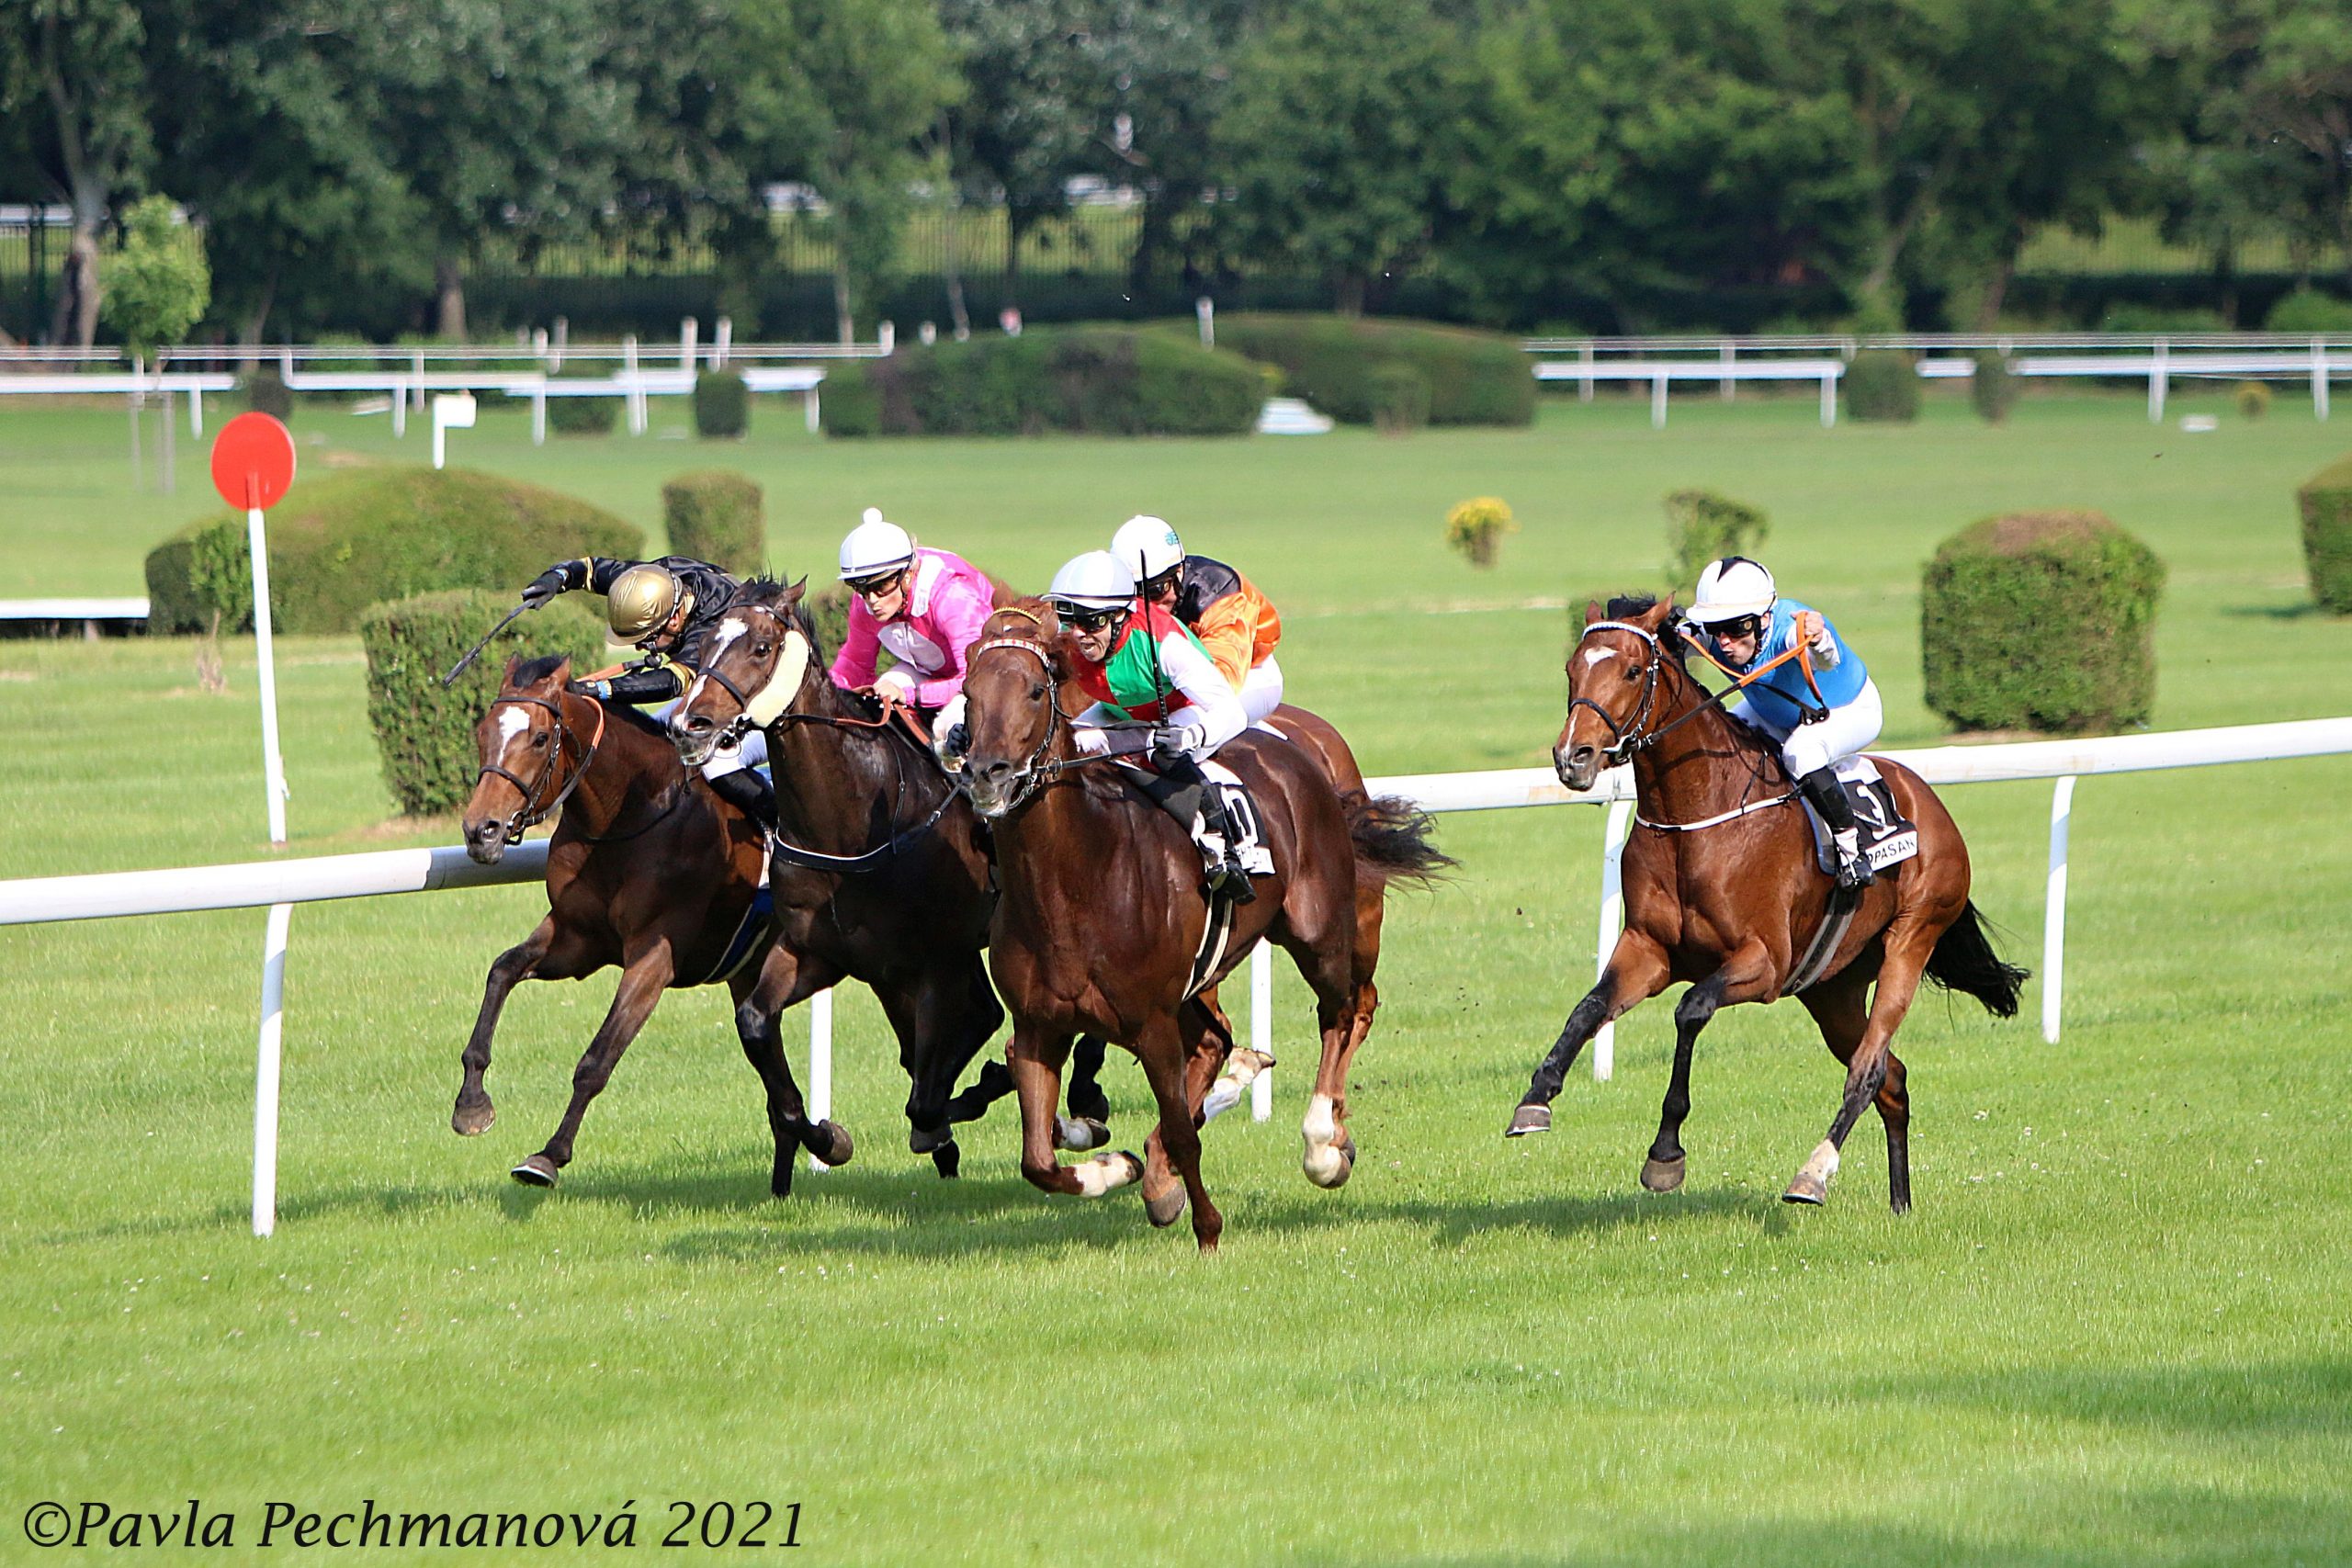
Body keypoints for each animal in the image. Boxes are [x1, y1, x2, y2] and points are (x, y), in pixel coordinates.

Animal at [454, 658, 851, 1194]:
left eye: (538, 738)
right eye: (482, 733)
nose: (481, 830)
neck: (630, 815)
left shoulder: (653, 957)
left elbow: (597, 1059)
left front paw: (549, 1156)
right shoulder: (577, 938)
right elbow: (503, 969)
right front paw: (472, 1104)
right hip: (750, 970)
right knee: (771, 1067)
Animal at [945, 602, 1439, 1250]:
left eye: (1033, 690)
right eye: (968, 694)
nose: (988, 775)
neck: (1072, 885)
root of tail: (1304, 757)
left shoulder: (1151, 1022)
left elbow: (1183, 1131)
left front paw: (1207, 1228)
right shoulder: (1037, 1028)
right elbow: (1039, 1162)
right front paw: (1119, 1167)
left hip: (1320, 934)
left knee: (1346, 1009)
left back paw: (1324, 1145)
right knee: (1217, 1041)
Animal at [1514, 594, 2031, 1213]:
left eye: (1633, 671)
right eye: (1572, 669)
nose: (1574, 757)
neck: (1694, 818)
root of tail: (1931, 803)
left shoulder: (1763, 963)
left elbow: (1690, 1009)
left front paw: (1665, 1154)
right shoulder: (1649, 949)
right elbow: (1589, 1008)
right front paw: (1535, 1099)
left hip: (1912, 937)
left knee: (1867, 1071)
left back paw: (1813, 1174)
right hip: (1831, 987)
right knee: (1894, 1081)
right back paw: (1900, 1204)